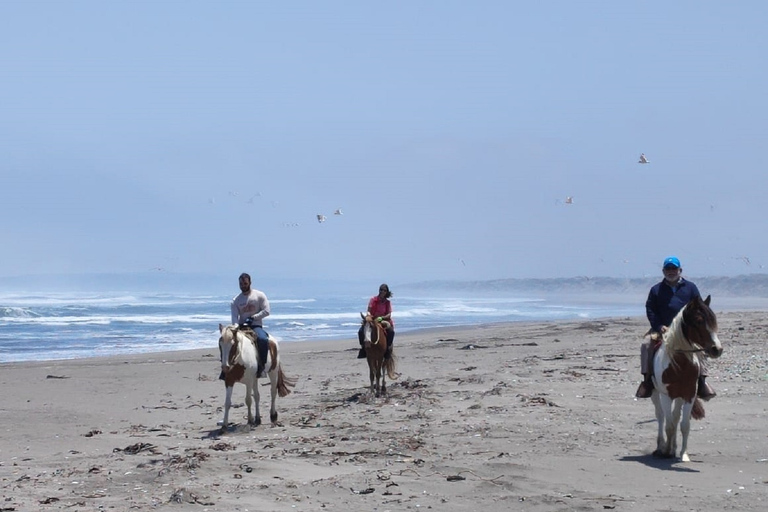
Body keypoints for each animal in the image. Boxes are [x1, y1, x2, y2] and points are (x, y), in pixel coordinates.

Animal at [652, 294, 724, 462]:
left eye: (713, 320)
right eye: (698, 320)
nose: (717, 349)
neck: (679, 365)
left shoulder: (689, 395)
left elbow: (684, 425)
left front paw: (683, 454)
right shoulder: (666, 395)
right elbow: (669, 425)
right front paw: (666, 452)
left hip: (679, 397)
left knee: (675, 417)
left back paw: (673, 447)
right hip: (655, 394)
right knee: (660, 417)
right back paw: (660, 447)